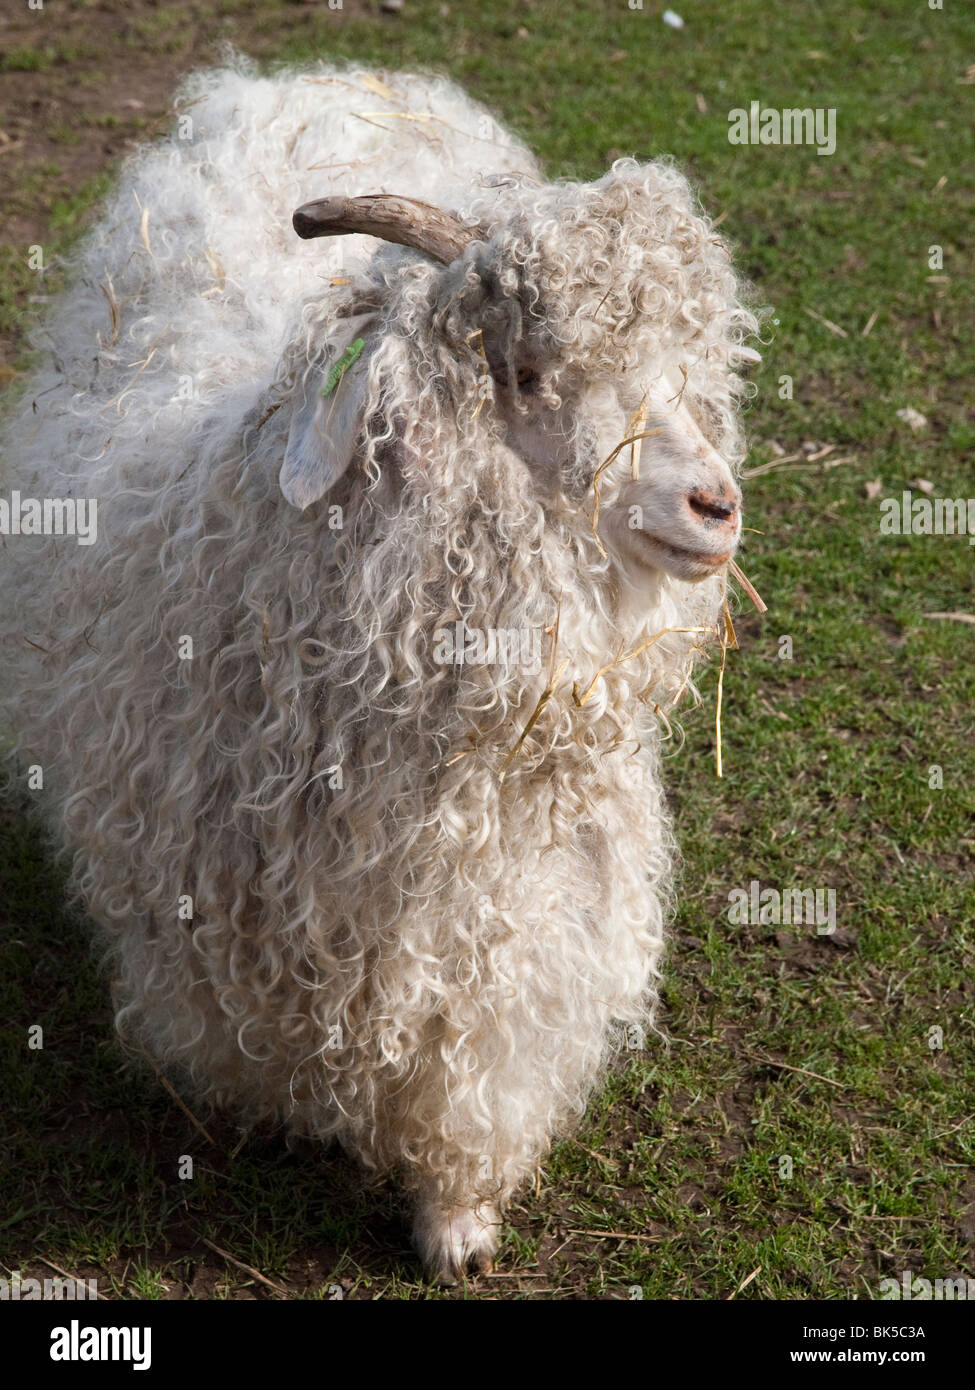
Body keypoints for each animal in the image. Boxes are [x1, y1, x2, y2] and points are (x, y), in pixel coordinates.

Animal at [0, 62, 756, 1278]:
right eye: (528, 372)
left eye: (681, 369)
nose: (714, 506)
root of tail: (304, 75)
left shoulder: (512, 916)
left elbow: (476, 1063)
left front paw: (459, 1221)